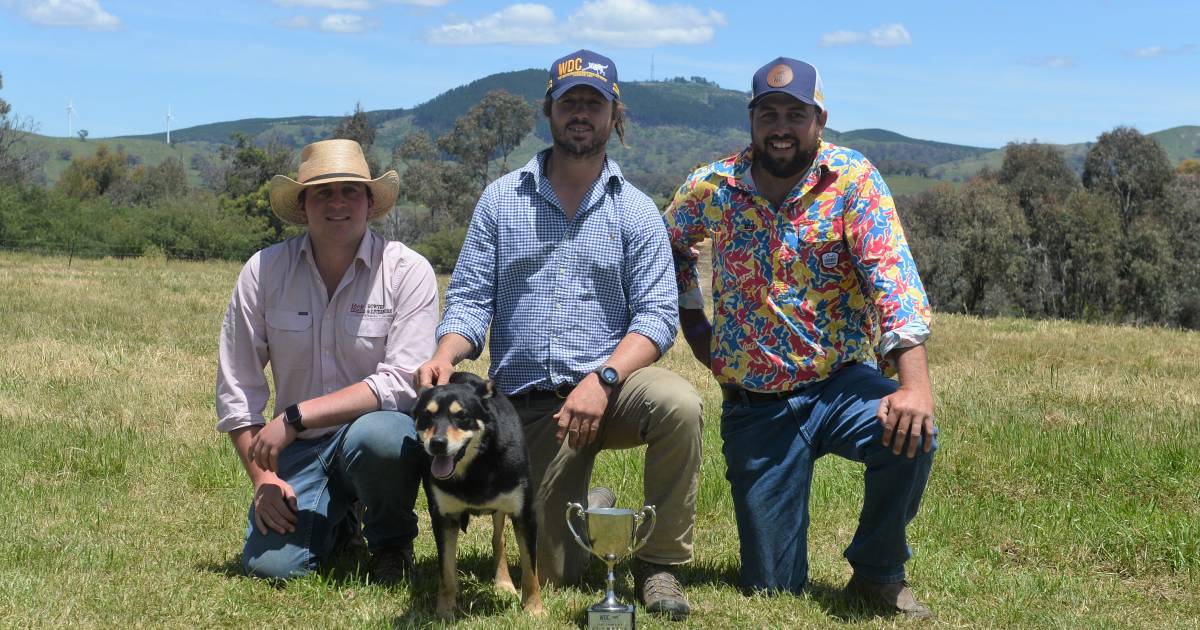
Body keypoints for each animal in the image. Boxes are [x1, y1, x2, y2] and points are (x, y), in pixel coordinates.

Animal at [412, 372, 544, 619]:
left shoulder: (524, 513)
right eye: (426, 416)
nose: (437, 444)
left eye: (462, 416)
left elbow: (530, 568)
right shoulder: (443, 517)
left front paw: (534, 608)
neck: (475, 467)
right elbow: (446, 571)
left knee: (499, 539)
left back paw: (503, 583)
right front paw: (445, 611)